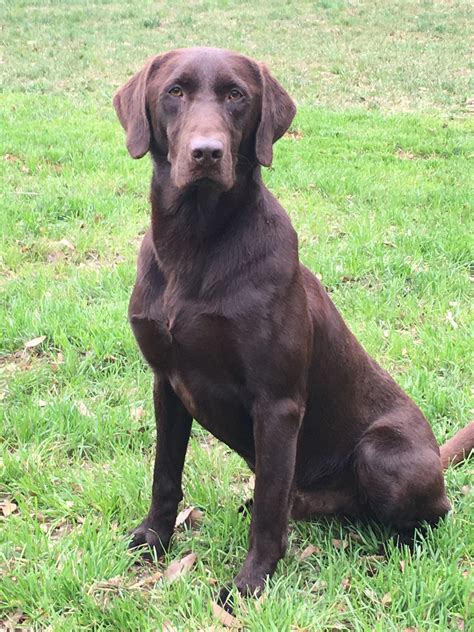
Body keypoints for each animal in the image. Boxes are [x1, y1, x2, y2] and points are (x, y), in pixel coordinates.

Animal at [114, 47, 474, 596]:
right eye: (174, 91)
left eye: (236, 95)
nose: (206, 152)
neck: (193, 243)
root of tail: (435, 454)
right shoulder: (166, 384)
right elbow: (165, 475)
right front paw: (154, 539)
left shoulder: (277, 403)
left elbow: (268, 508)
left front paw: (249, 586)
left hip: (383, 453)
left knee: (429, 515)